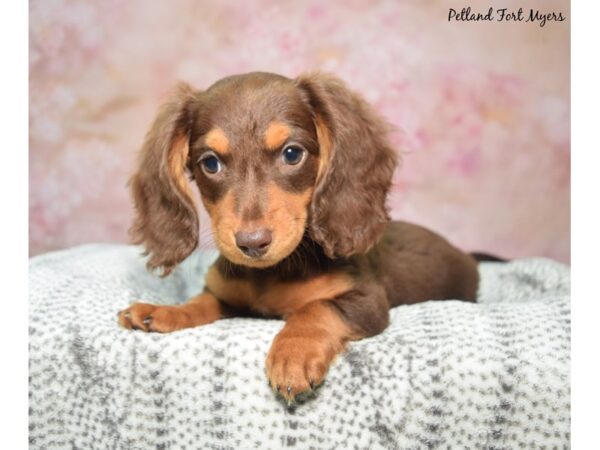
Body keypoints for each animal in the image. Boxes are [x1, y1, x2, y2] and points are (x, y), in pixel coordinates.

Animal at [117, 73, 482, 404]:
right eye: (210, 163)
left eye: (292, 154)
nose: (252, 243)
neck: (273, 272)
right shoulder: (227, 296)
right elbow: (201, 302)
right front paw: (161, 311)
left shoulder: (368, 300)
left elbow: (317, 308)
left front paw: (293, 353)